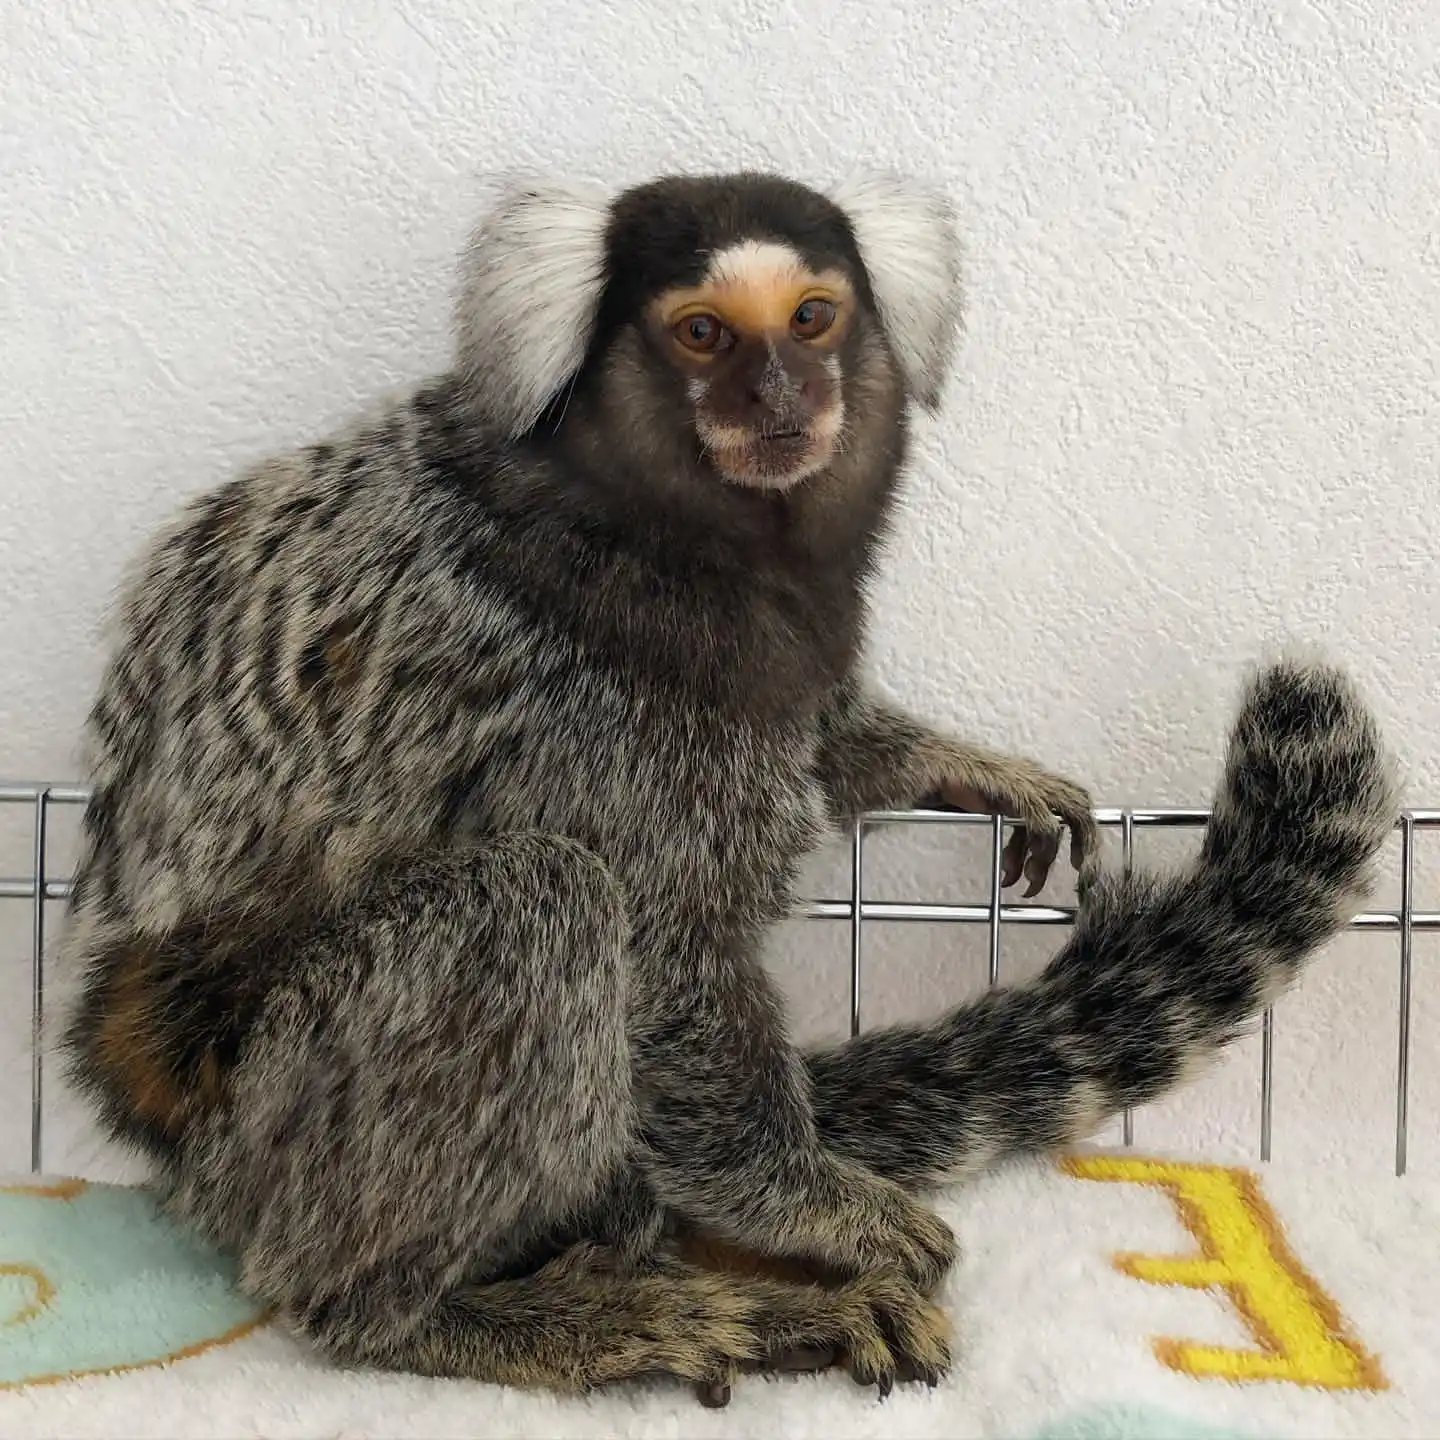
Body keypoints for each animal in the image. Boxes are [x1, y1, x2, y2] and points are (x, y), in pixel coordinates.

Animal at [57, 169, 1398, 1409]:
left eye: (812, 318)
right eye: (703, 332)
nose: (782, 398)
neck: (675, 531)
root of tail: (159, 1123)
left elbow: (823, 746)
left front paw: (950, 763)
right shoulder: (588, 706)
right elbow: (666, 960)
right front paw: (818, 1209)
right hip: (275, 1123)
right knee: (534, 905)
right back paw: (482, 1318)